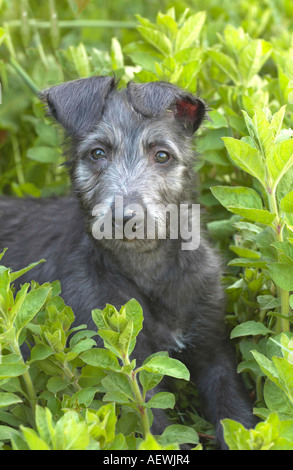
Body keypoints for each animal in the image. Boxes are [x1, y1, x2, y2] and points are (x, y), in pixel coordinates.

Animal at [0, 77, 256, 448]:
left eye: (162, 155)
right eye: (97, 153)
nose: (125, 218)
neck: (146, 266)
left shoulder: (214, 352)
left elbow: (235, 413)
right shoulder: (123, 366)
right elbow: (157, 429)